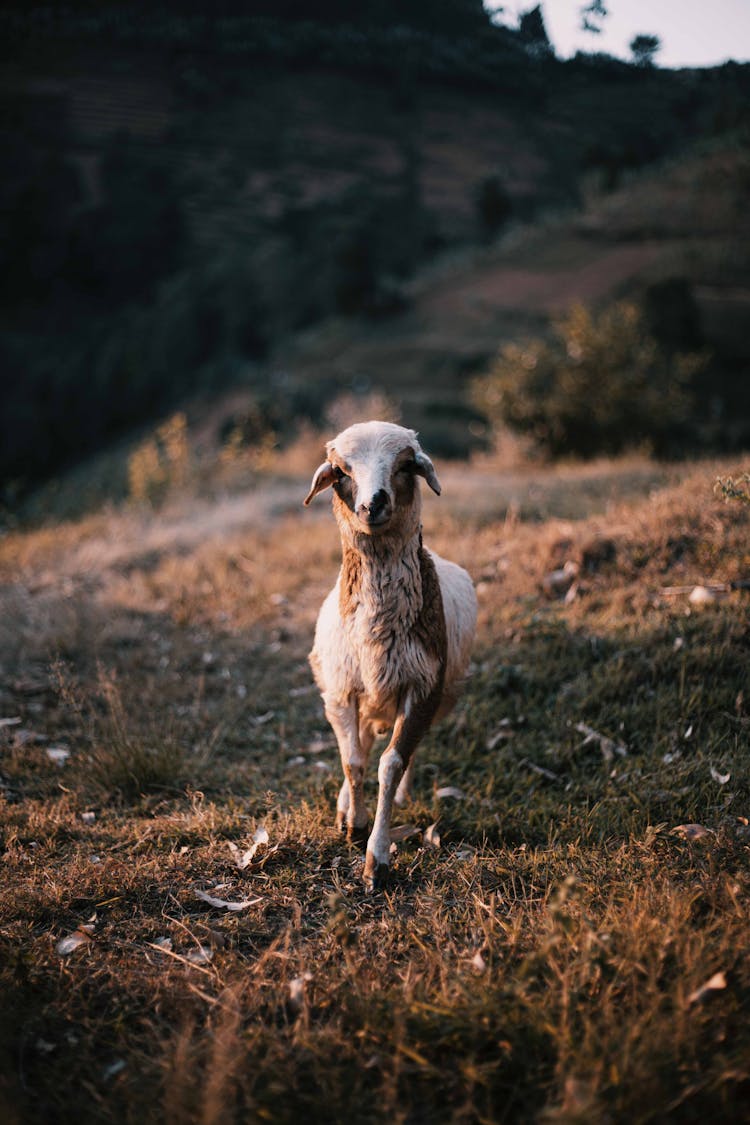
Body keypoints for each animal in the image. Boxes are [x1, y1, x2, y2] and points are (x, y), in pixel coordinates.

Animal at [303, 418, 474, 891]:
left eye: (405, 466)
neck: (377, 628)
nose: (372, 504)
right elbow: (354, 761)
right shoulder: (342, 691)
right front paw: (353, 823)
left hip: (436, 697)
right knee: (358, 744)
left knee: (403, 754)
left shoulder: (422, 689)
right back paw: (345, 803)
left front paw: (376, 858)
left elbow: (391, 763)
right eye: (341, 471)